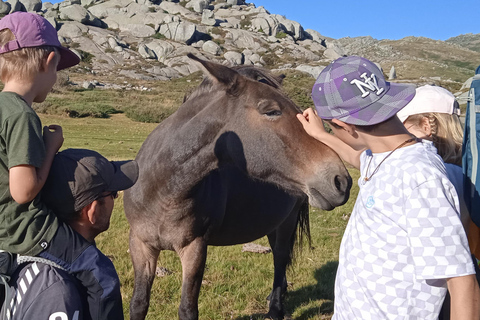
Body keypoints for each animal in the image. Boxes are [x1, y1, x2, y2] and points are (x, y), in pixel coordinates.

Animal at [122, 53, 350, 318]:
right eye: (271, 111)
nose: (341, 181)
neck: (163, 189)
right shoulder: (140, 244)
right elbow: (139, 303)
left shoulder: (194, 248)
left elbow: (187, 309)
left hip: (287, 223)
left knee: (280, 259)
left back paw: (275, 308)